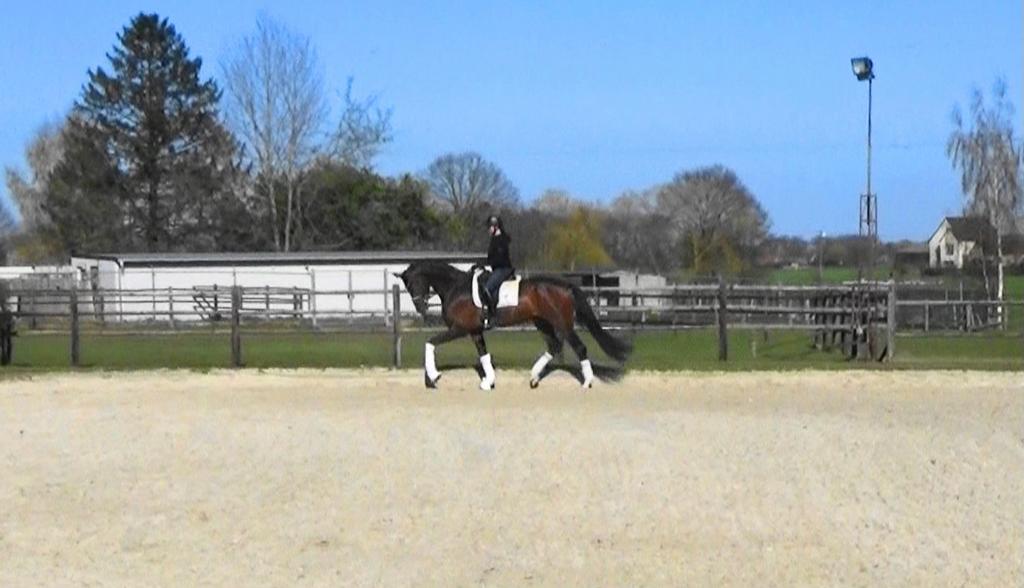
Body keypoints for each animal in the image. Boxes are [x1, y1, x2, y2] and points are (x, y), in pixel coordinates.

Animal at [394, 260, 632, 390]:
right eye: (406, 286)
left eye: (414, 282)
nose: (421, 307)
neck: (456, 288)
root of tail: (566, 286)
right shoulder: (475, 331)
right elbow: (484, 355)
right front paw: (488, 382)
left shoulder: (460, 329)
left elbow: (430, 342)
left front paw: (433, 377)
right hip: (542, 322)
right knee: (554, 346)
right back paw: (534, 377)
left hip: (562, 324)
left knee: (579, 347)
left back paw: (586, 382)